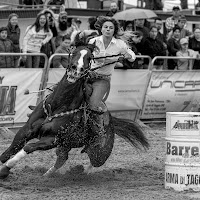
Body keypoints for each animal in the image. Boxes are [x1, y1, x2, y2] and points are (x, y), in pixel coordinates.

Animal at [0, 33, 148, 179]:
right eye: (74, 52)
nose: (76, 69)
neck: (57, 106)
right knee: (62, 159)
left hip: (99, 151)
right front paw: (4, 165)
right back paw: (47, 175)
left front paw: (5, 169)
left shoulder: (52, 139)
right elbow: (10, 150)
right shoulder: (27, 129)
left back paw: (84, 173)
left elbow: (27, 148)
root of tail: (111, 121)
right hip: (65, 146)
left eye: (90, 57)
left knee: (94, 162)